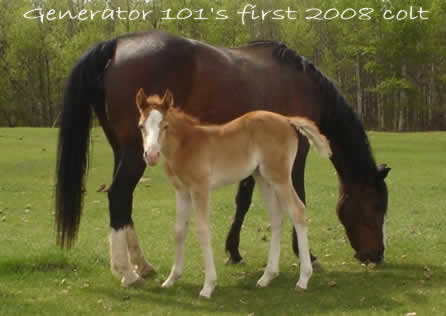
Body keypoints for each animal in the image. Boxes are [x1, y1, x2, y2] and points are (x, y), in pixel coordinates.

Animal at [136, 89, 332, 298]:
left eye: (165, 126)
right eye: (141, 126)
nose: (151, 155)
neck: (186, 144)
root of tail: (287, 119)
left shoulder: (200, 189)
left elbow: (203, 230)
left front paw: (208, 286)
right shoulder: (182, 192)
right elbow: (179, 231)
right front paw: (171, 280)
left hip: (279, 176)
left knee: (298, 212)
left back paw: (303, 279)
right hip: (263, 178)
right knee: (277, 217)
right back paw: (267, 277)